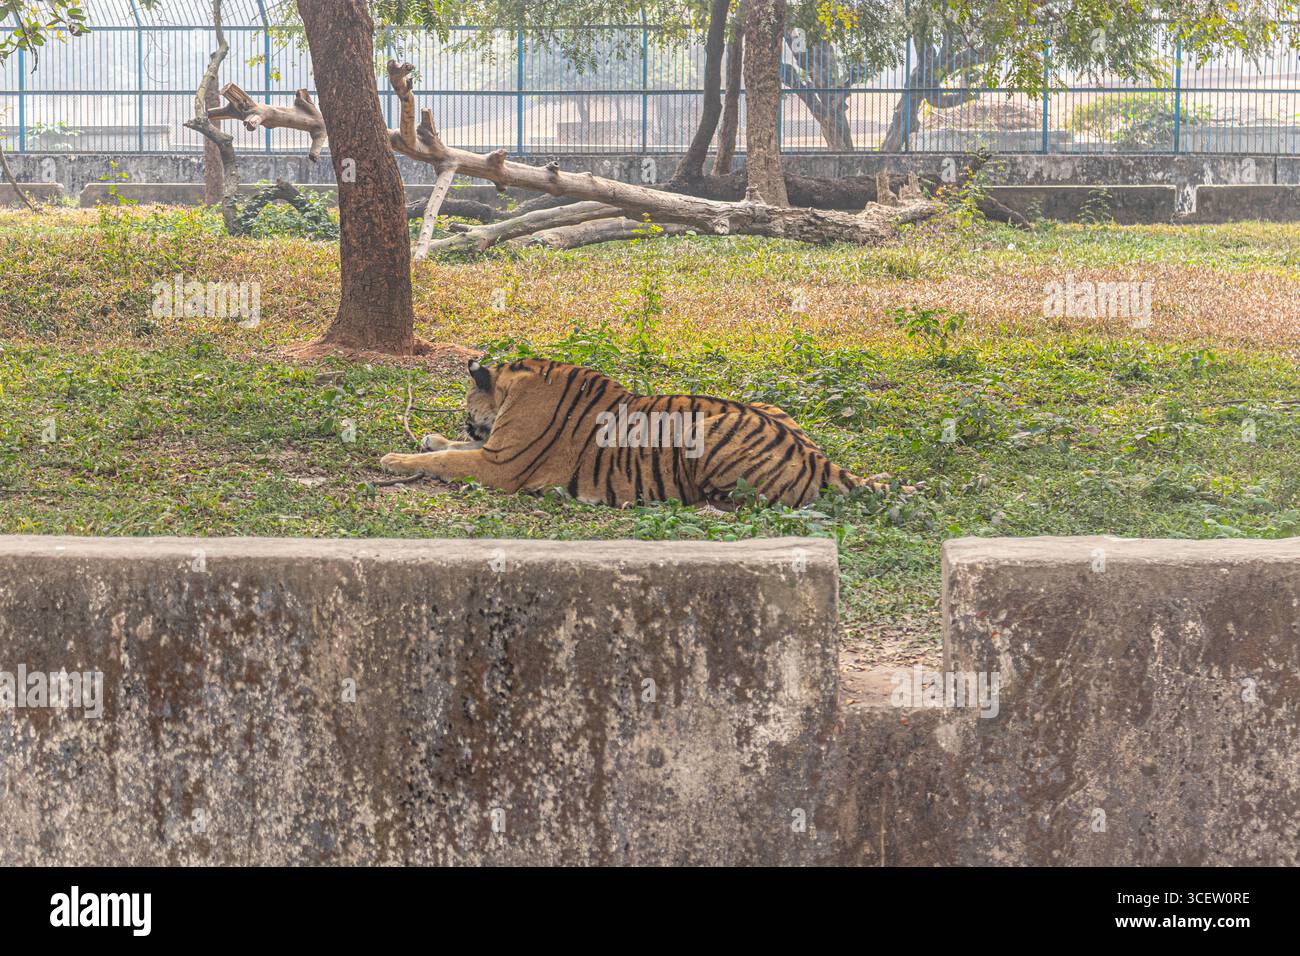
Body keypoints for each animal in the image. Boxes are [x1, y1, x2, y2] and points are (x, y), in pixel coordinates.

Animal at [379, 358, 886, 508]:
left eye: (466, 400)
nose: (465, 419)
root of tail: (821, 460)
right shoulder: (493, 450)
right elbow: (452, 448)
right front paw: (430, 437)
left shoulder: (500, 464)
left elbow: (449, 459)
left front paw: (395, 459)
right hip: (767, 406)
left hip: (706, 433)